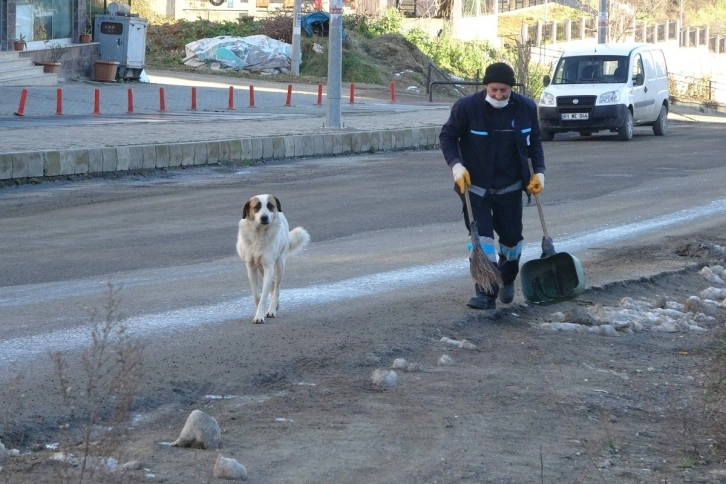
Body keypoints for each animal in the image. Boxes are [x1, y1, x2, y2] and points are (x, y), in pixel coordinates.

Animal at [236, 194, 310, 326]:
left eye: (270, 206)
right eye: (257, 207)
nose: (264, 217)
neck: (259, 233)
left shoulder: (269, 267)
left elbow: (264, 296)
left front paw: (260, 315)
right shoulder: (251, 268)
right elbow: (257, 295)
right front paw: (259, 311)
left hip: (280, 264)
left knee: (276, 288)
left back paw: (272, 309)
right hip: (262, 268)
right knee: (274, 284)